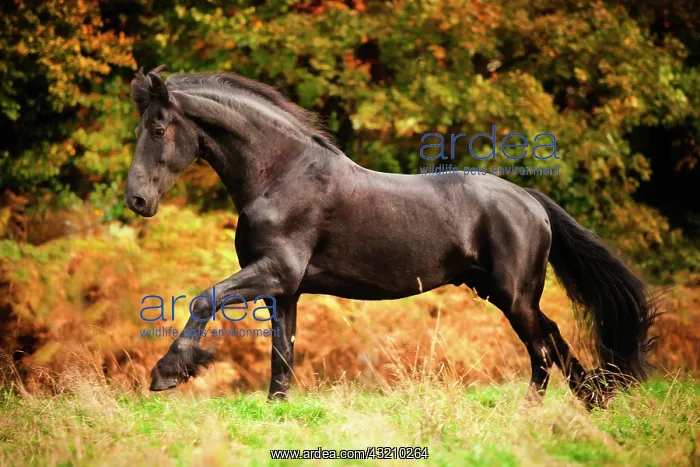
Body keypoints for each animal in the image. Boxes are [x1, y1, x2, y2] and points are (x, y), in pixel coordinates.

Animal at [125, 65, 659, 408]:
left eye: (159, 127)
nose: (137, 201)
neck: (280, 174)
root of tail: (529, 199)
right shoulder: (286, 288)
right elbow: (282, 350)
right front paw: (277, 407)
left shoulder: (274, 272)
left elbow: (204, 299)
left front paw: (168, 373)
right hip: (502, 292)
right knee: (552, 337)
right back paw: (592, 401)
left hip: (513, 296)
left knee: (542, 348)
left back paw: (533, 412)